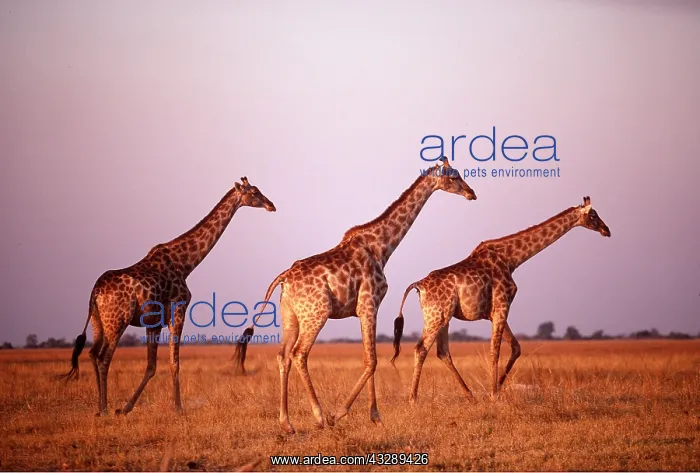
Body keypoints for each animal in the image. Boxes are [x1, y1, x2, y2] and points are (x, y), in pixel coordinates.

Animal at [58, 177, 276, 416]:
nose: (271, 205)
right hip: (117, 320)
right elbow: (174, 363)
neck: (186, 263)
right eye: (254, 192)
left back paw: (99, 408)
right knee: (104, 358)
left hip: (98, 321)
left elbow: (151, 366)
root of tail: (95, 291)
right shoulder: (178, 311)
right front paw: (178, 408)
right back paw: (104, 408)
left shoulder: (153, 322)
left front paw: (125, 408)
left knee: (91, 353)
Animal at [232, 157, 477, 434]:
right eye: (453, 176)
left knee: (283, 355)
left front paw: (375, 416)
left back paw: (287, 423)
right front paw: (341, 414)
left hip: (290, 316)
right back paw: (319, 416)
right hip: (316, 313)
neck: (381, 247)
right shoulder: (369, 303)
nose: (471, 193)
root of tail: (284, 278)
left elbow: (367, 358)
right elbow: (372, 360)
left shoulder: (363, 309)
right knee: (299, 353)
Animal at [391, 196, 611, 402]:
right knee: (421, 349)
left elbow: (516, 347)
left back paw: (470, 395)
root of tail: (419, 285)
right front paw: (493, 393)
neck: (512, 259)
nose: (606, 230)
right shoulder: (503, 304)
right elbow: (495, 350)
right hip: (436, 316)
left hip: (444, 317)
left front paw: (498, 386)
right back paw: (413, 398)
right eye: (593, 215)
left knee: (442, 351)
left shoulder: (493, 311)